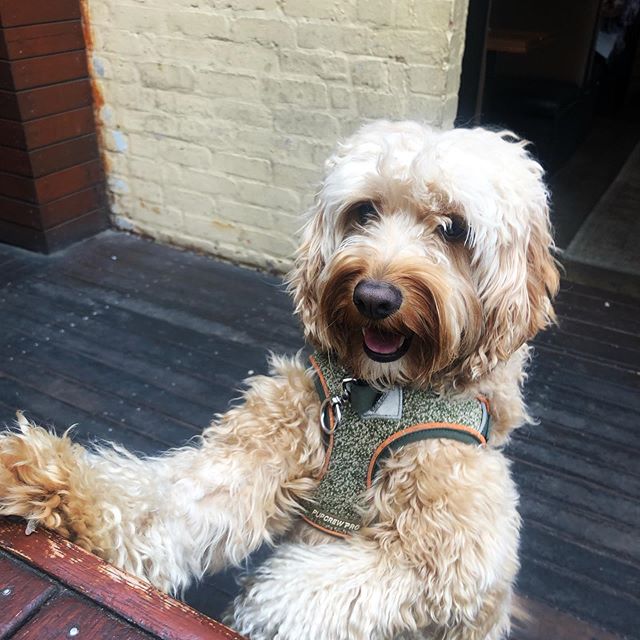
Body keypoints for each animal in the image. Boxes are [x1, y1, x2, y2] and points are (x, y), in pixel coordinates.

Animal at [0, 121, 556, 640]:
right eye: (365, 212)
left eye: (453, 228)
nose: (373, 297)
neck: (380, 398)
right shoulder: (261, 449)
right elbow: (170, 502)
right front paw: (50, 483)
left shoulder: (446, 558)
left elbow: (298, 596)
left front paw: (254, 616)